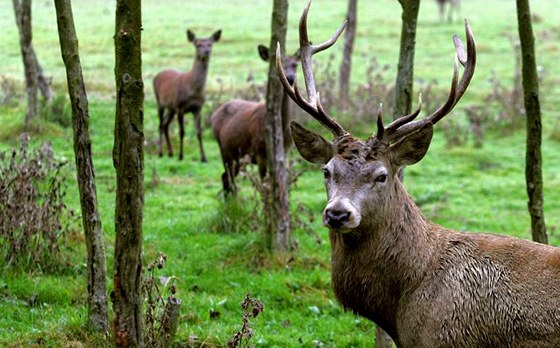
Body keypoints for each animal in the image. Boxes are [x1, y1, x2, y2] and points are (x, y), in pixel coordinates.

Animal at [155, 29, 223, 162]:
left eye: (210, 44)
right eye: (198, 44)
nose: (206, 52)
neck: (193, 90)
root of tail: (158, 74)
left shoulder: (198, 108)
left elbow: (199, 132)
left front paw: (204, 158)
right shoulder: (180, 107)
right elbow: (182, 132)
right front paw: (181, 156)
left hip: (171, 108)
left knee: (165, 124)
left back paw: (170, 153)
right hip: (160, 102)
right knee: (160, 124)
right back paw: (160, 153)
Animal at [210, 44, 300, 194]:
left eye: (295, 64)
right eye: (279, 63)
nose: (290, 78)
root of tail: (213, 115)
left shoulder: (285, 152)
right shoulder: (259, 152)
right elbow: (263, 183)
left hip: (237, 156)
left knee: (225, 177)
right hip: (224, 150)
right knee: (227, 177)